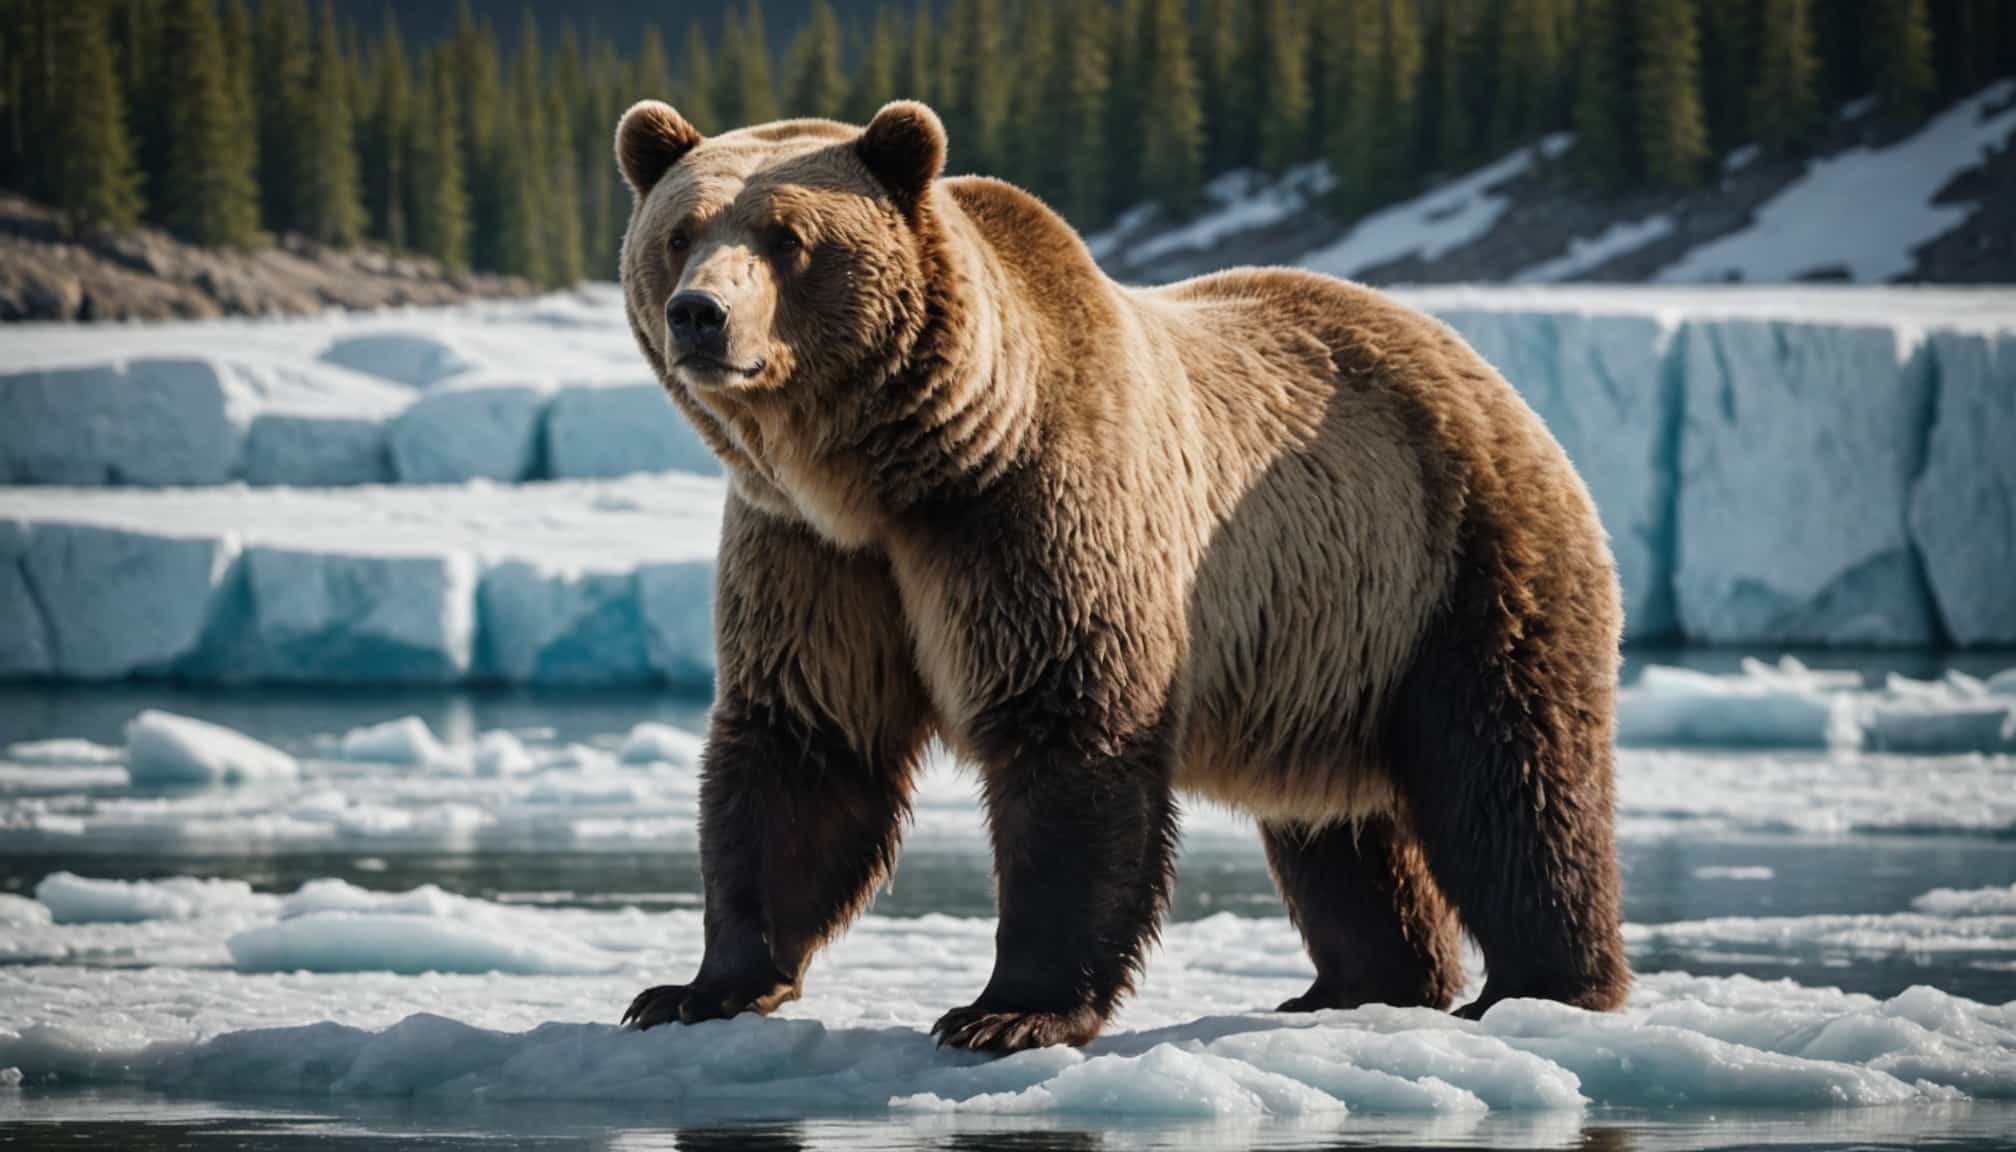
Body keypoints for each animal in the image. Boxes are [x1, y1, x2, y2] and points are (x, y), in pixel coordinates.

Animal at [604, 99, 1628, 1057]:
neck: (900, 473)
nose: (699, 314)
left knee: (1509, 774)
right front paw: (696, 988)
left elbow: (1069, 738)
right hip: (1332, 641)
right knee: (1338, 826)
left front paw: (1008, 1011)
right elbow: (804, 741)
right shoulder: (814, 557)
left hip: (1457, 561)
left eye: (789, 237)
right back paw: (1357, 985)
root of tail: (1476, 366)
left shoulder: (1030, 515)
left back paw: (1544, 988)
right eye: (681, 232)